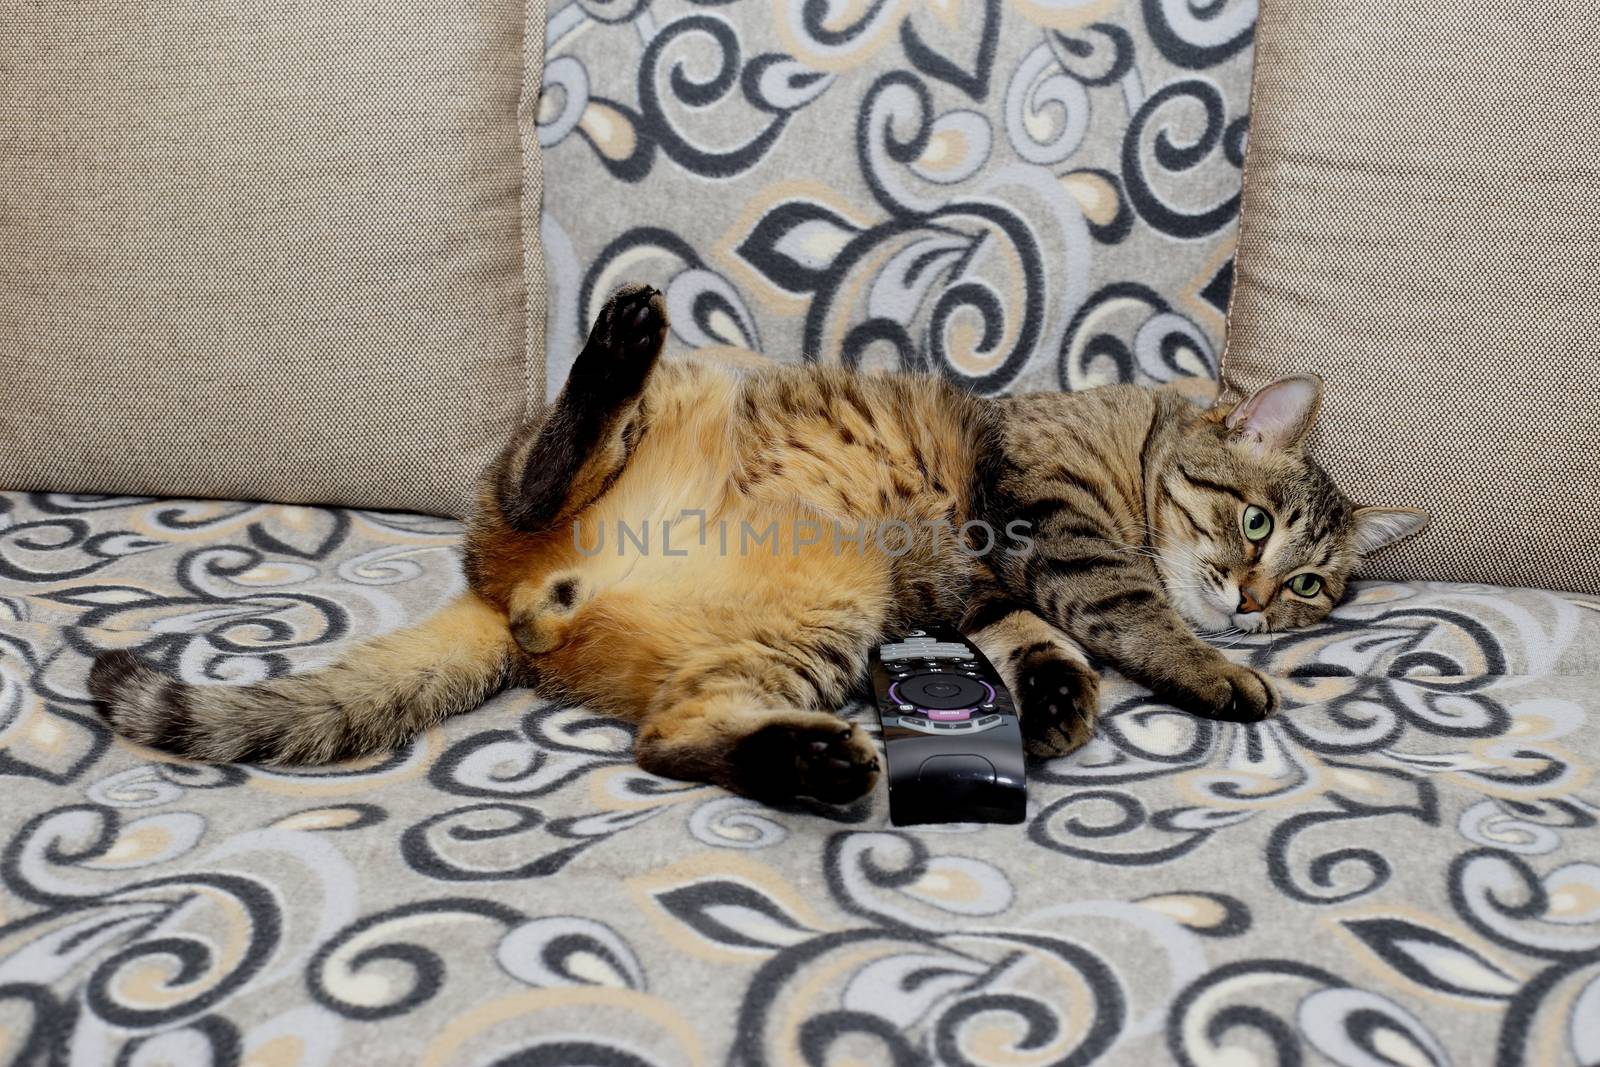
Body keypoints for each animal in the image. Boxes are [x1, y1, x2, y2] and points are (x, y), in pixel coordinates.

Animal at [93, 283, 1433, 799]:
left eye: (1312, 581)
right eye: (1254, 523)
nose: (1258, 600)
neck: (1129, 435)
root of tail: (506, 593)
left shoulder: (954, 588)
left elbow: (1022, 637)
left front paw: (1050, 700)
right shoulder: (1051, 519)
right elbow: (1132, 615)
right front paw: (1217, 671)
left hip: (818, 617)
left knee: (671, 733)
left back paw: (814, 759)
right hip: (637, 439)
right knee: (540, 471)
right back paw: (614, 343)